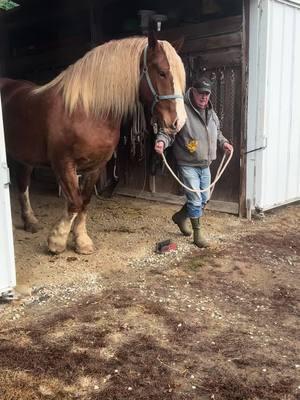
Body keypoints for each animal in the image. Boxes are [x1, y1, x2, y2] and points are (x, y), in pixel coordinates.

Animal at [1, 32, 186, 255]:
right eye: (162, 72)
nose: (178, 122)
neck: (86, 111)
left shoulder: (95, 166)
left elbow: (85, 202)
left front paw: (82, 242)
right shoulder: (64, 164)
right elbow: (74, 203)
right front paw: (57, 241)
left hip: (25, 158)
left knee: (23, 184)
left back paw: (30, 221)